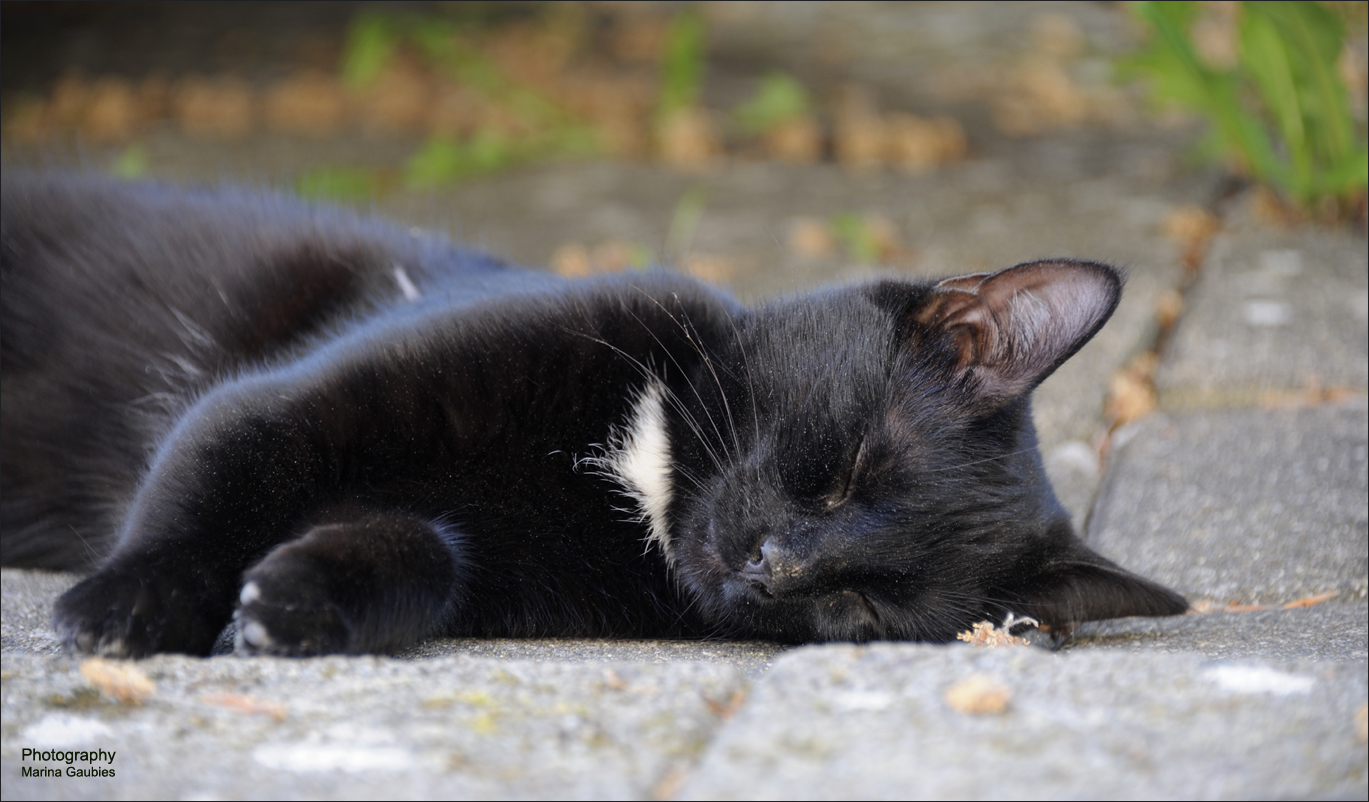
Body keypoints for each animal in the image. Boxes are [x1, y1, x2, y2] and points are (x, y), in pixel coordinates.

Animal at [0, 175, 1182, 656]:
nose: (773, 570)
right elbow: (223, 464)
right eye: (843, 469)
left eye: (867, 604)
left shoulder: (488, 563)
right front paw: (130, 606)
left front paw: (293, 605)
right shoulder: (292, 398)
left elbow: (424, 553)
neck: (634, 478)